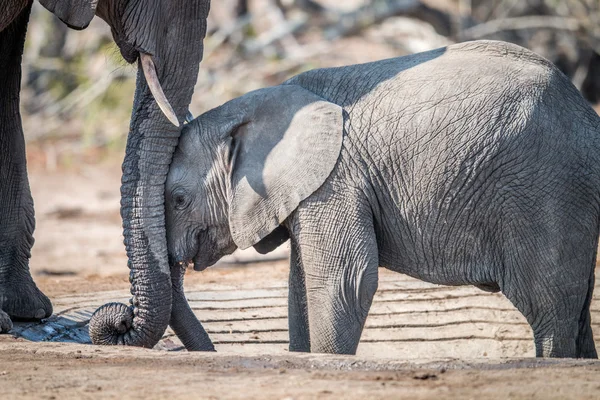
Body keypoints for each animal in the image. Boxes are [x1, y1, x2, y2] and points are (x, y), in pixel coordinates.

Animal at [165, 40, 600, 358]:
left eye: (179, 200)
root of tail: (586, 112)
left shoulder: (336, 180)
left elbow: (344, 282)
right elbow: (301, 289)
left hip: (547, 187)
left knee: (548, 308)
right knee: (576, 312)